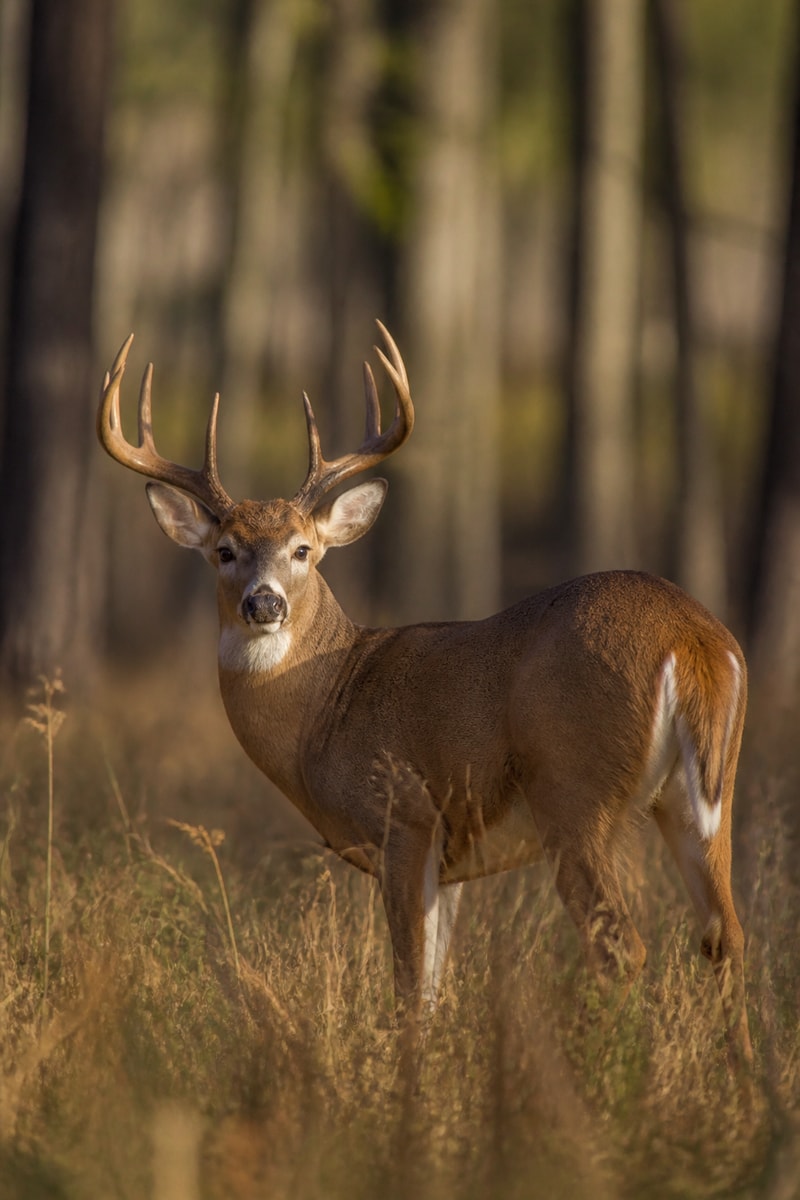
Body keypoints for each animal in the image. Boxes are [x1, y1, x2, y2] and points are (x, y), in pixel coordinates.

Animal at [97, 322, 753, 1066]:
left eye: (301, 549)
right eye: (226, 550)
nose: (264, 604)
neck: (327, 706)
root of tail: (691, 640)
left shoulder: (404, 815)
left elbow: (410, 985)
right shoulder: (451, 858)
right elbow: (435, 988)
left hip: (572, 790)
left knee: (622, 946)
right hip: (702, 796)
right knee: (725, 936)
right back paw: (746, 1083)